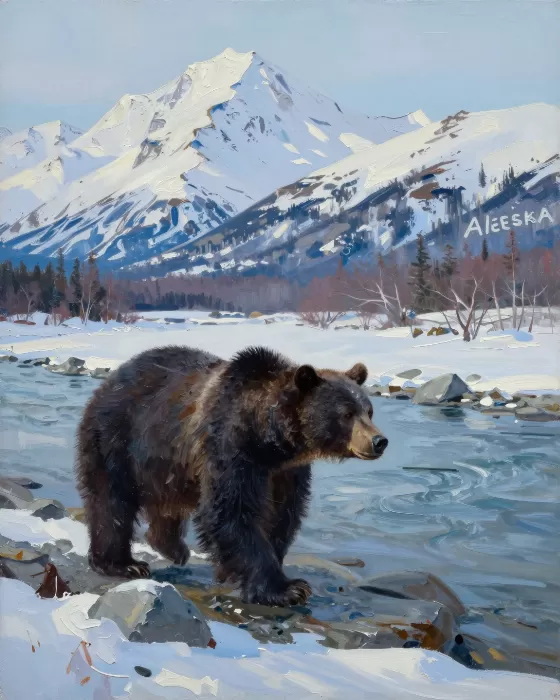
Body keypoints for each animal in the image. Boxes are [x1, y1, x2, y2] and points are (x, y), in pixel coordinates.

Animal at [76, 345, 388, 607]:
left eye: (369, 410)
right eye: (346, 414)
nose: (379, 441)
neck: (270, 441)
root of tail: (109, 381)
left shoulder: (285, 472)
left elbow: (283, 514)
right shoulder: (231, 448)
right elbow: (231, 512)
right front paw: (287, 589)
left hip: (166, 464)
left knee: (166, 504)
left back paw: (173, 548)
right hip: (117, 439)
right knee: (111, 502)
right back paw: (122, 563)